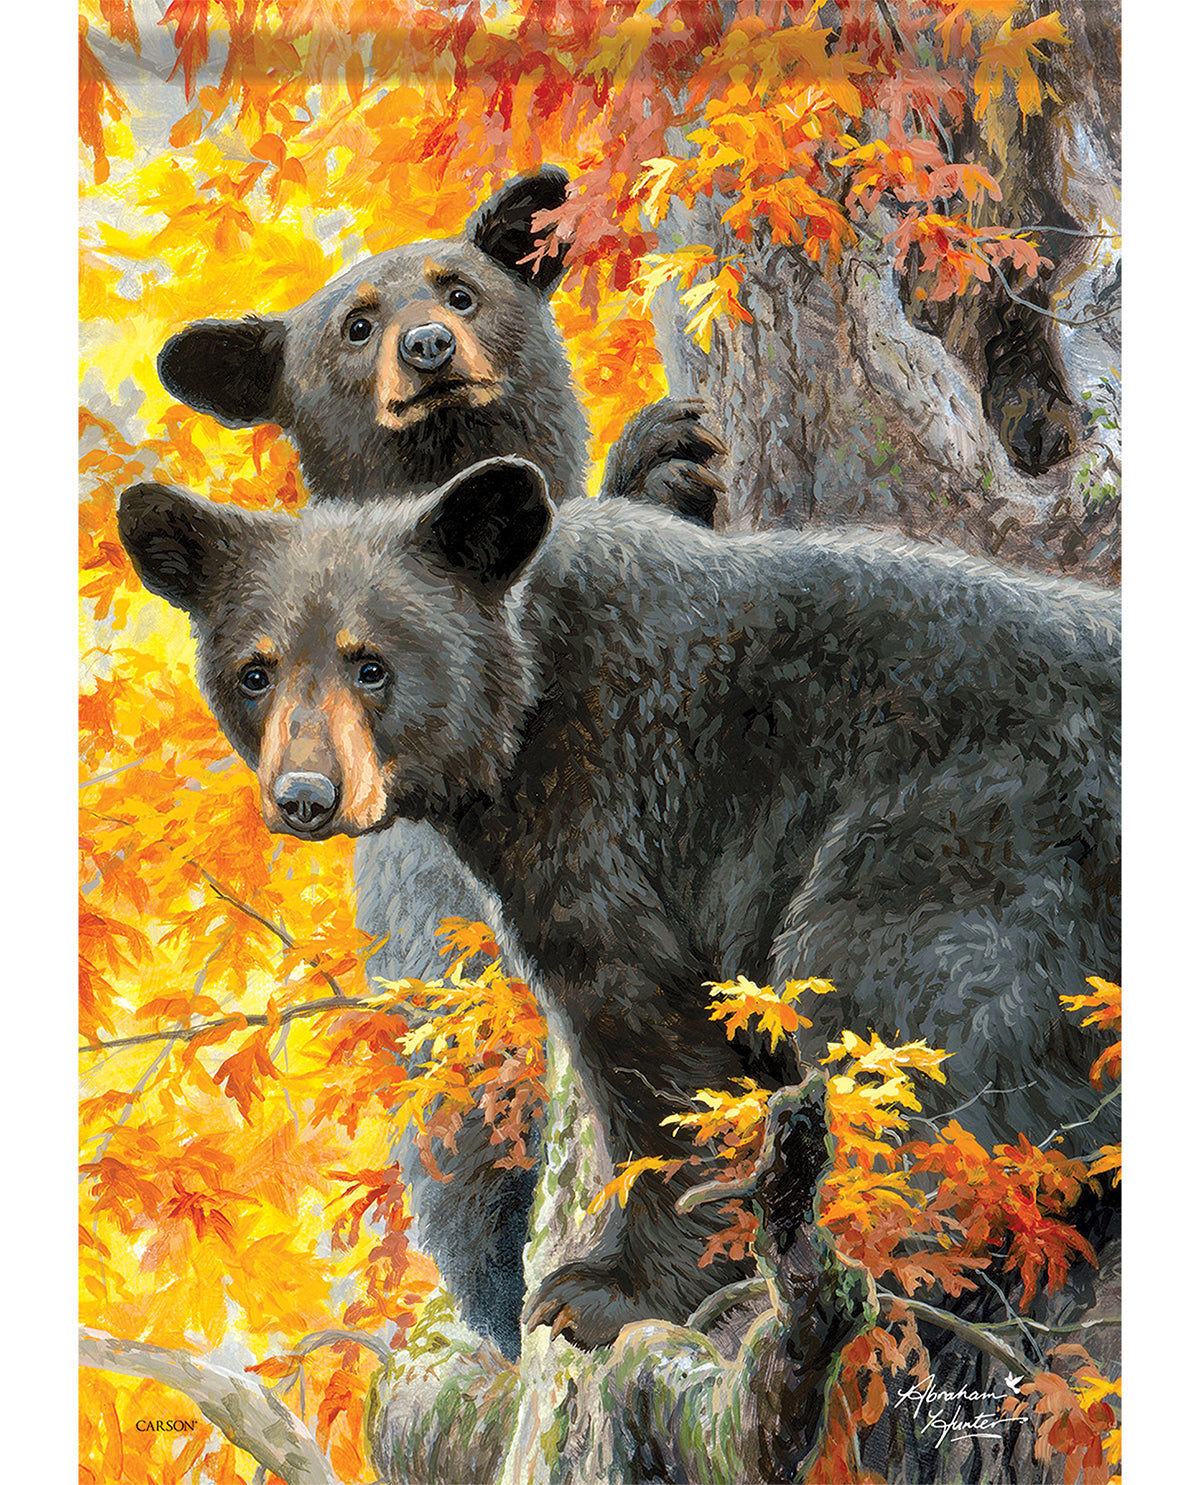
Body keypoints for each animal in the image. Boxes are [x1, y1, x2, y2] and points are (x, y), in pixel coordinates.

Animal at [117, 454, 1120, 1352]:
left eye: (372, 665)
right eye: (256, 671)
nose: (305, 796)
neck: (531, 684)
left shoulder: (604, 798)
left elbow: (645, 1023)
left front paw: (603, 1293)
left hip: (970, 829)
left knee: (905, 1016)